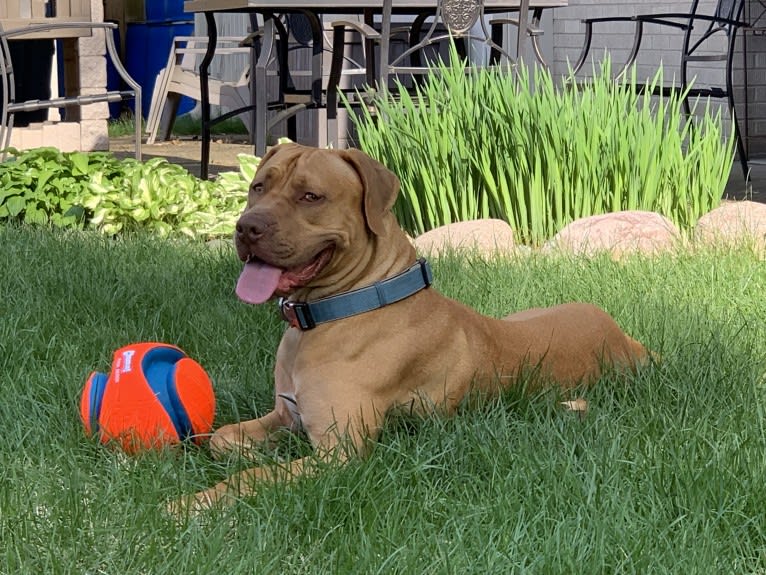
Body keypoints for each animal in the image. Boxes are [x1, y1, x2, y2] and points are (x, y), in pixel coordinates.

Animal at [186, 144, 648, 508]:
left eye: (310, 196)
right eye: (258, 187)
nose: (246, 227)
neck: (336, 310)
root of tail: (626, 338)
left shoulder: (340, 454)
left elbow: (248, 479)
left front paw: (190, 504)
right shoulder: (287, 414)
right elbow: (222, 437)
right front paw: (246, 453)